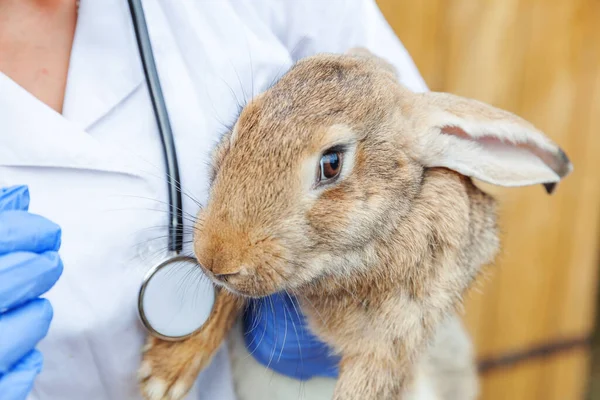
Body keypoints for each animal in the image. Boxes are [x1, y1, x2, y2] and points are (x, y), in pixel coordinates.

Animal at [136, 47, 572, 400]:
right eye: (243, 122)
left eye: (332, 163)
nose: (214, 258)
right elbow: (231, 296)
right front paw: (165, 372)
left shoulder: (395, 337)